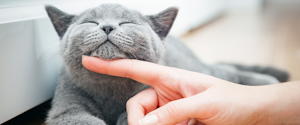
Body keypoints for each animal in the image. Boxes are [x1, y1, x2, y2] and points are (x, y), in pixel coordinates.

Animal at [44, 3, 288, 125]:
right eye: (90, 22)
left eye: (127, 22)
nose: (107, 26)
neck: (110, 87)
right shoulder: (65, 109)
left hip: (196, 69)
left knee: (225, 72)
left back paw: (268, 82)